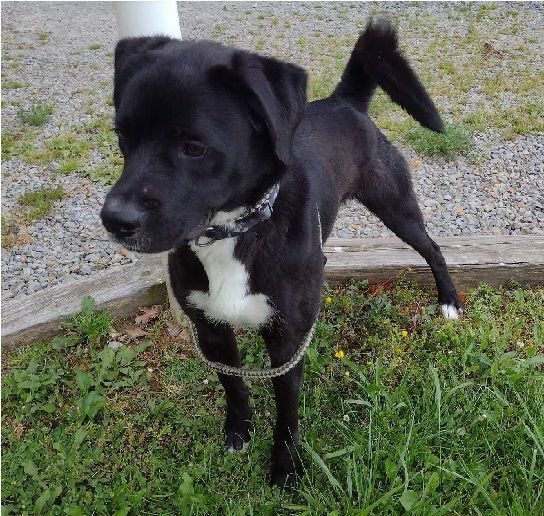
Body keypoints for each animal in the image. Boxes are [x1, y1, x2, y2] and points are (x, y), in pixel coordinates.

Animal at [101, 20, 460, 486]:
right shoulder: (210, 330)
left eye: (194, 147)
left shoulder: (288, 342)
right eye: (123, 136)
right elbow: (234, 386)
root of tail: (344, 101)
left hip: (395, 205)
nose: (114, 220)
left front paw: (285, 467)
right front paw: (238, 433)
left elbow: (287, 412)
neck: (235, 232)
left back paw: (449, 300)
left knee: (432, 247)